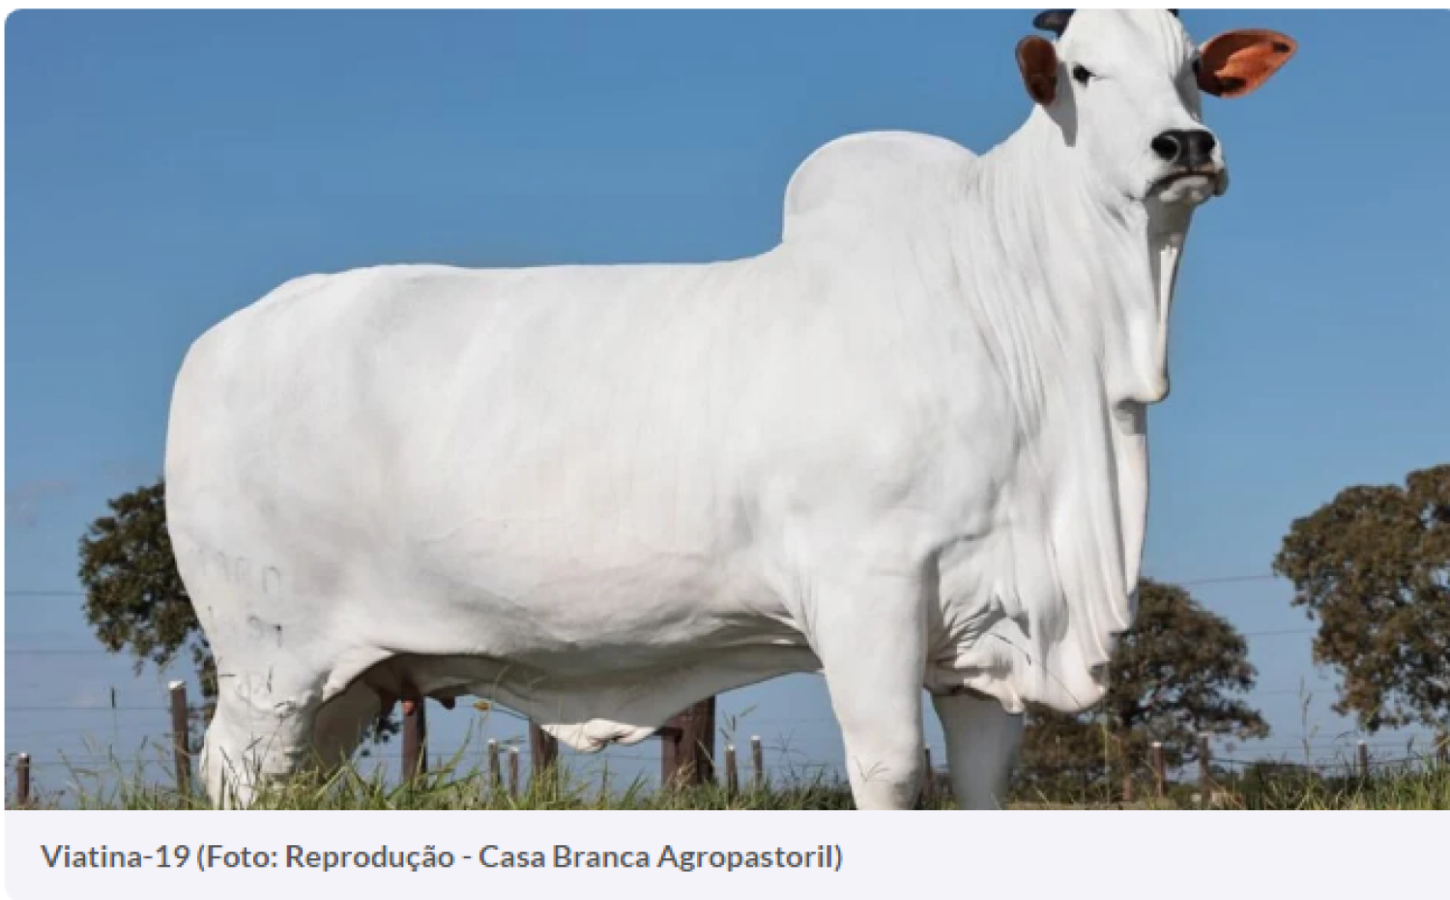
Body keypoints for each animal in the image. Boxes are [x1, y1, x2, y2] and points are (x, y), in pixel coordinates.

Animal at [166, 7, 1293, 805]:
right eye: (1084, 72)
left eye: (1191, 68)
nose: (1183, 147)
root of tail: (220, 341)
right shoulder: (868, 589)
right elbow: (892, 771)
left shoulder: (989, 633)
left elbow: (978, 785)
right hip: (268, 663)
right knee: (235, 775)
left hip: (348, 680)